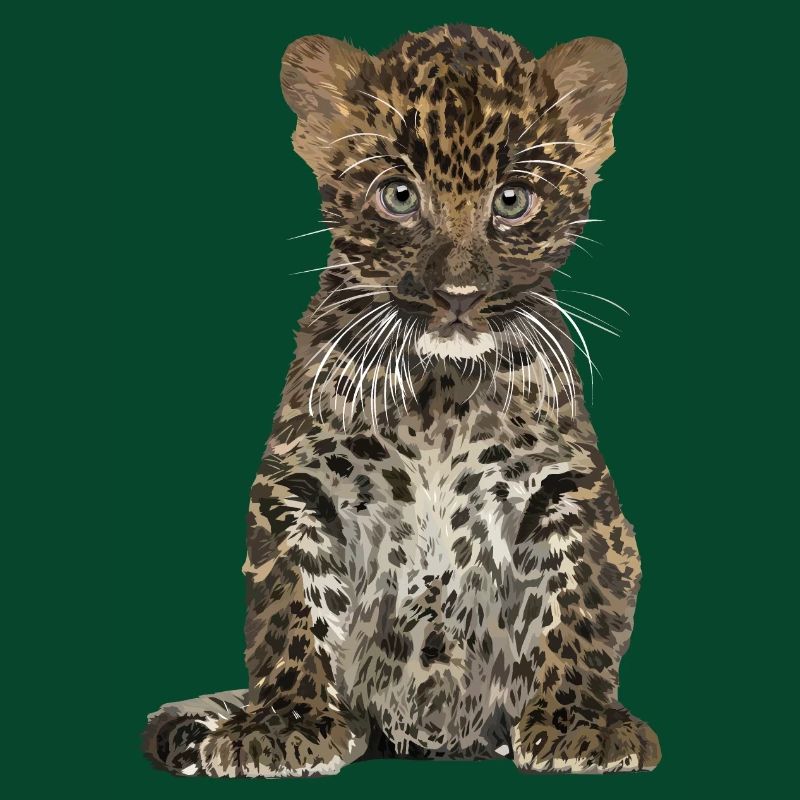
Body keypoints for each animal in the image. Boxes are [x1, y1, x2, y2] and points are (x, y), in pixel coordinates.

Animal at [143, 23, 661, 777]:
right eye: (397, 195)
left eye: (512, 200)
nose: (458, 294)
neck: (439, 391)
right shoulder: (298, 483)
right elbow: (290, 603)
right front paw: (283, 724)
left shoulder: (569, 485)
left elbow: (581, 600)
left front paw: (580, 724)